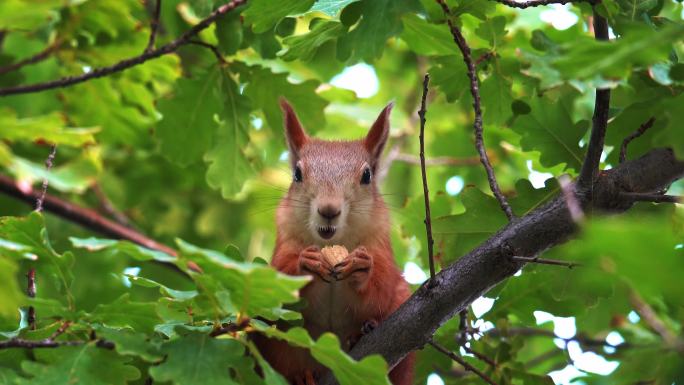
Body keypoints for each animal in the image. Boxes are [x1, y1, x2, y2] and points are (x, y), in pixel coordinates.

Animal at [254, 100, 414, 384]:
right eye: (297, 174)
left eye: (367, 175)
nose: (329, 210)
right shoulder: (285, 239)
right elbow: (278, 279)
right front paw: (305, 264)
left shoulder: (379, 242)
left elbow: (381, 289)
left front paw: (362, 267)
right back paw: (302, 377)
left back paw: (361, 334)